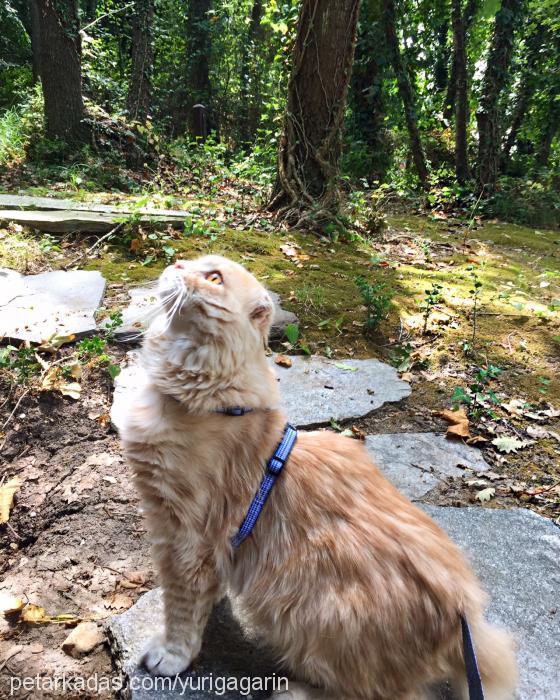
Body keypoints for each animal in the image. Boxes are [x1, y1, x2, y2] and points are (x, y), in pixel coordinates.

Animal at [117, 256, 516, 700]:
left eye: (214, 278)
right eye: (193, 264)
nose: (177, 262)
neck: (212, 402)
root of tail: (463, 620)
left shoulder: (185, 533)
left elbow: (181, 607)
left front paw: (172, 655)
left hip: (304, 610)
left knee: (379, 693)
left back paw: (293, 691)